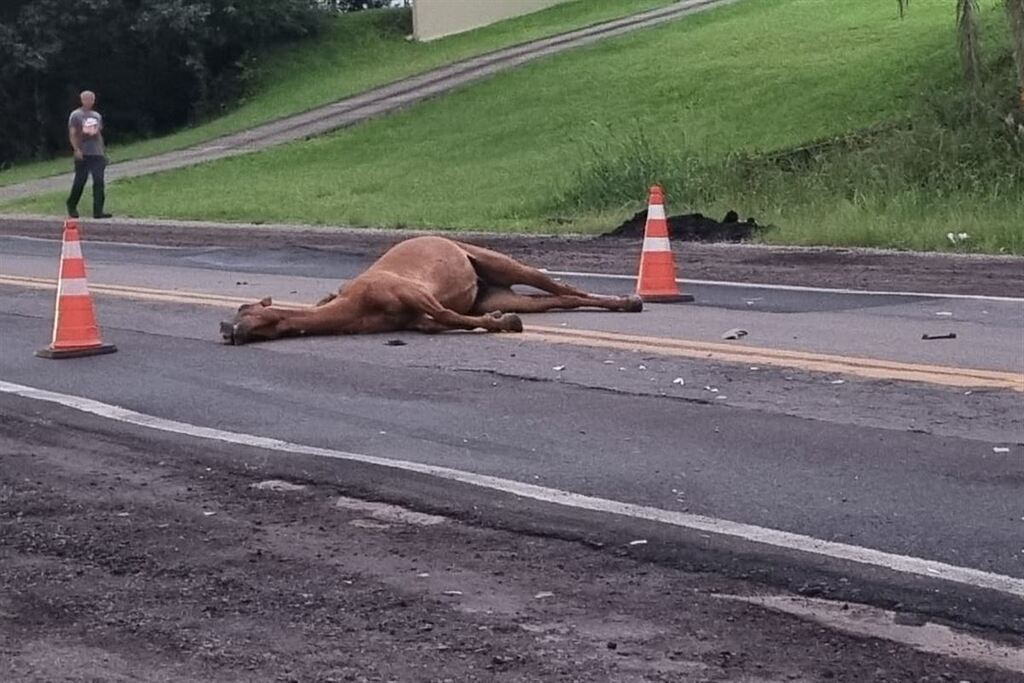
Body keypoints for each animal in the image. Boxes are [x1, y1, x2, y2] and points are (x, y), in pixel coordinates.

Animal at [221, 235, 643, 344]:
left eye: (247, 310)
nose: (226, 329)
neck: (357, 305)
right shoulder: (417, 318)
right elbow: (442, 321)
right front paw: (501, 319)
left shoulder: (413, 293)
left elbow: (446, 314)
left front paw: (505, 324)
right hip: (500, 291)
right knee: (559, 298)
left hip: (498, 261)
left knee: (564, 286)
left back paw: (630, 300)